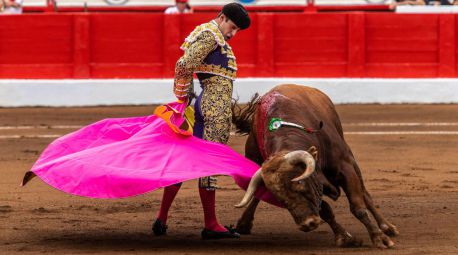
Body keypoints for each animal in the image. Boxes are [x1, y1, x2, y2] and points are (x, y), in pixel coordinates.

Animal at [231, 84, 398, 248]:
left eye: (299, 182)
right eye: (277, 197)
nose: (307, 224)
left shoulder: (345, 167)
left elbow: (358, 207)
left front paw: (379, 238)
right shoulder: (316, 185)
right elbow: (326, 211)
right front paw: (345, 238)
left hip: (351, 158)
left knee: (365, 194)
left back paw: (387, 227)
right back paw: (244, 224)